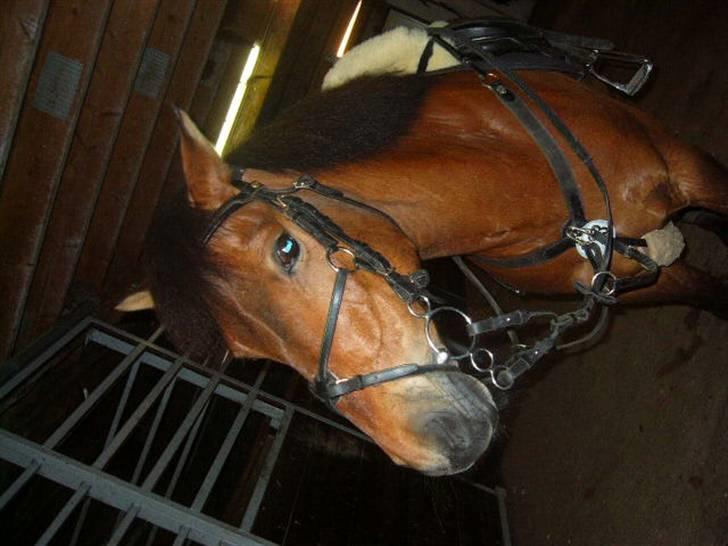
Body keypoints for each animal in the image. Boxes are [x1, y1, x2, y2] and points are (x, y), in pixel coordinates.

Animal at [120, 21, 728, 476]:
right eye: (249, 356)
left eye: (286, 248)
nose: (447, 444)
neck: (512, 168)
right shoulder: (617, 283)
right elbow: (708, 291)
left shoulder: (694, 170)